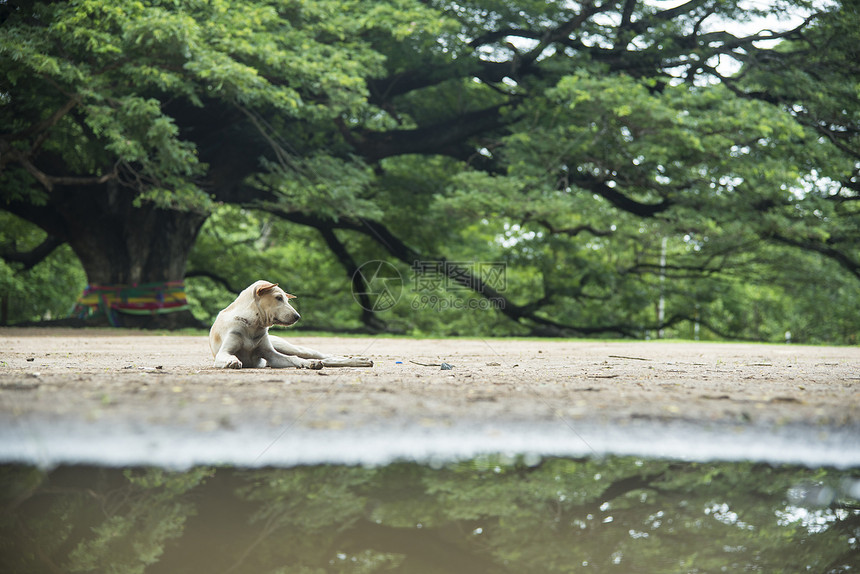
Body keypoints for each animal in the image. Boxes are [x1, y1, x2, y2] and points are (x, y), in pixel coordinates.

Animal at [209, 282, 372, 372]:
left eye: (287, 300)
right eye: (278, 298)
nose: (298, 317)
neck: (253, 324)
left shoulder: (272, 355)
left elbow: (294, 358)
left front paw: (308, 363)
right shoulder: (223, 352)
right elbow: (229, 356)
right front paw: (232, 361)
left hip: (293, 348)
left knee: (324, 356)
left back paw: (360, 360)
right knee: (325, 360)